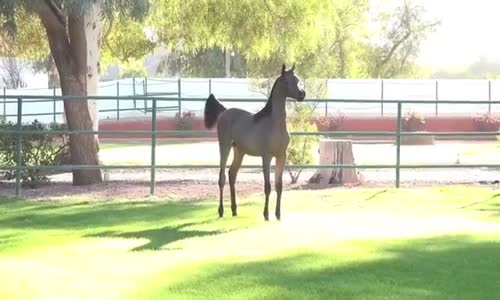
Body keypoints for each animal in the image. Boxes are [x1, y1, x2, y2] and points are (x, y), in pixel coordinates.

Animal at [202, 63, 304, 220]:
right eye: (286, 81)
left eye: (297, 80)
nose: (302, 94)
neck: (274, 124)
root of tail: (224, 111)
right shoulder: (266, 157)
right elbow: (267, 186)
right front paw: (266, 215)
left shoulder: (281, 156)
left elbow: (279, 185)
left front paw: (278, 215)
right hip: (224, 146)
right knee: (222, 178)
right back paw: (221, 211)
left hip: (239, 151)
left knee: (232, 174)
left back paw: (234, 210)